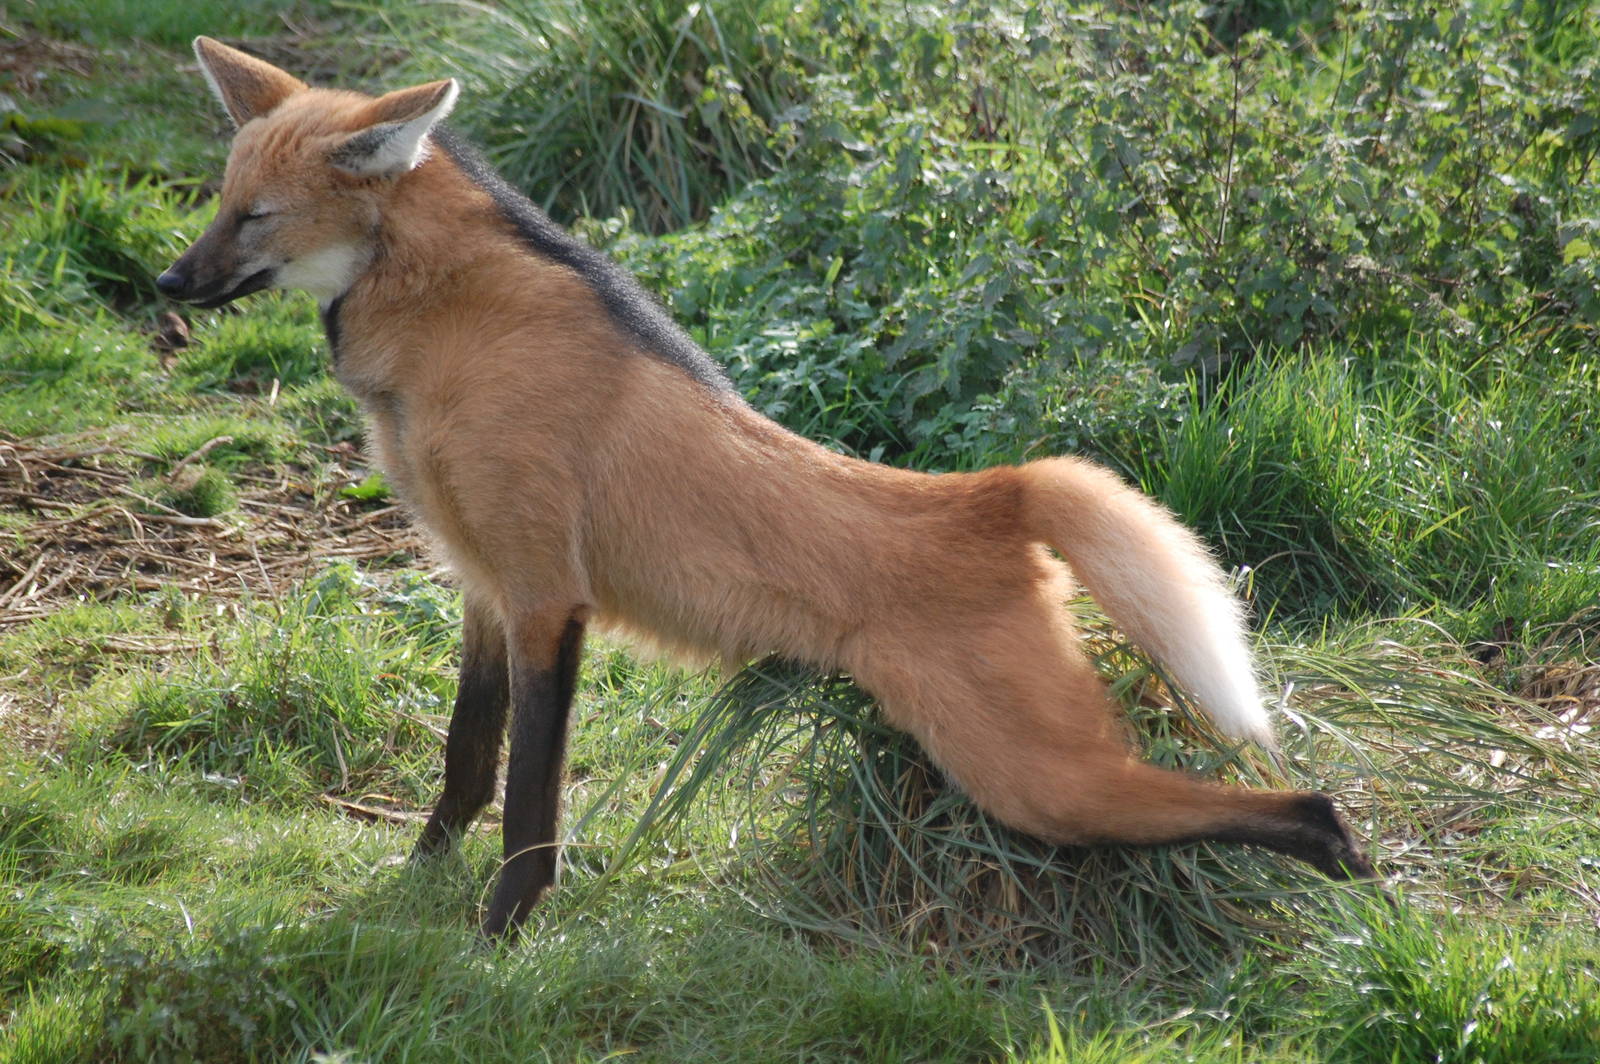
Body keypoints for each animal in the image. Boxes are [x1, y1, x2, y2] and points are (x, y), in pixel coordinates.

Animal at [158, 37, 1375, 938]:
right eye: (218, 203)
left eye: (255, 217)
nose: (168, 281)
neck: (437, 324)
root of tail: (993, 491)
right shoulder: (484, 588)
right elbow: (466, 763)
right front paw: (413, 887)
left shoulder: (547, 598)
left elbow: (529, 807)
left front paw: (496, 936)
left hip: (1029, 776)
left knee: (1301, 805)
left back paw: (1369, 906)